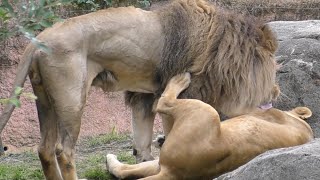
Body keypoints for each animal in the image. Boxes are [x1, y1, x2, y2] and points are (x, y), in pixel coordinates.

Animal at [0, 0, 278, 178]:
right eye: (274, 68)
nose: (276, 91)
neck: (219, 47)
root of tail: (39, 39)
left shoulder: (143, 96)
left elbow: (142, 145)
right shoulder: (176, 92)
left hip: (44, 97)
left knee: (45, 150)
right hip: (72, 97)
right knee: (63, 151)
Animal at [106, 72, 314, 179]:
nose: (276, 88)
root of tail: (172, 172)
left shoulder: (257, 111)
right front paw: (160, 138)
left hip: (205, 111)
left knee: (163, 103)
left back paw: (180, 79)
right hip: (159, 164)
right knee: (124, 171)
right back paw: (110, 160)